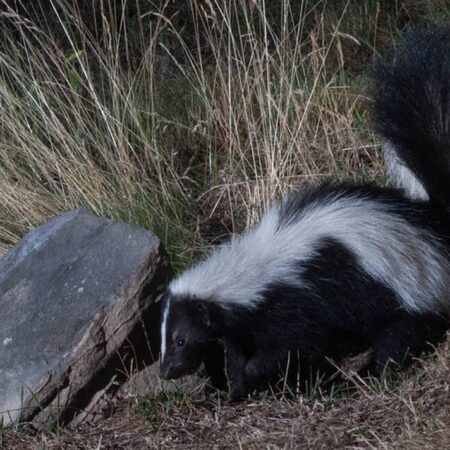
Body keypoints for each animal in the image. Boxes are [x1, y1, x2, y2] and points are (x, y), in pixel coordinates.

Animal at [160, 26, 450, 400]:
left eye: (181, 340)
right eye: (166, 339)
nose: (166, 370)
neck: (249, 275)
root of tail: (431, 221)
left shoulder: (297, 303)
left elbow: (294, 344)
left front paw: (259, 377)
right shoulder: (241, 327)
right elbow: (236, 353)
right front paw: (235, 390)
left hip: (404, 288)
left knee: (399, 335)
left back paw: (371, 372)